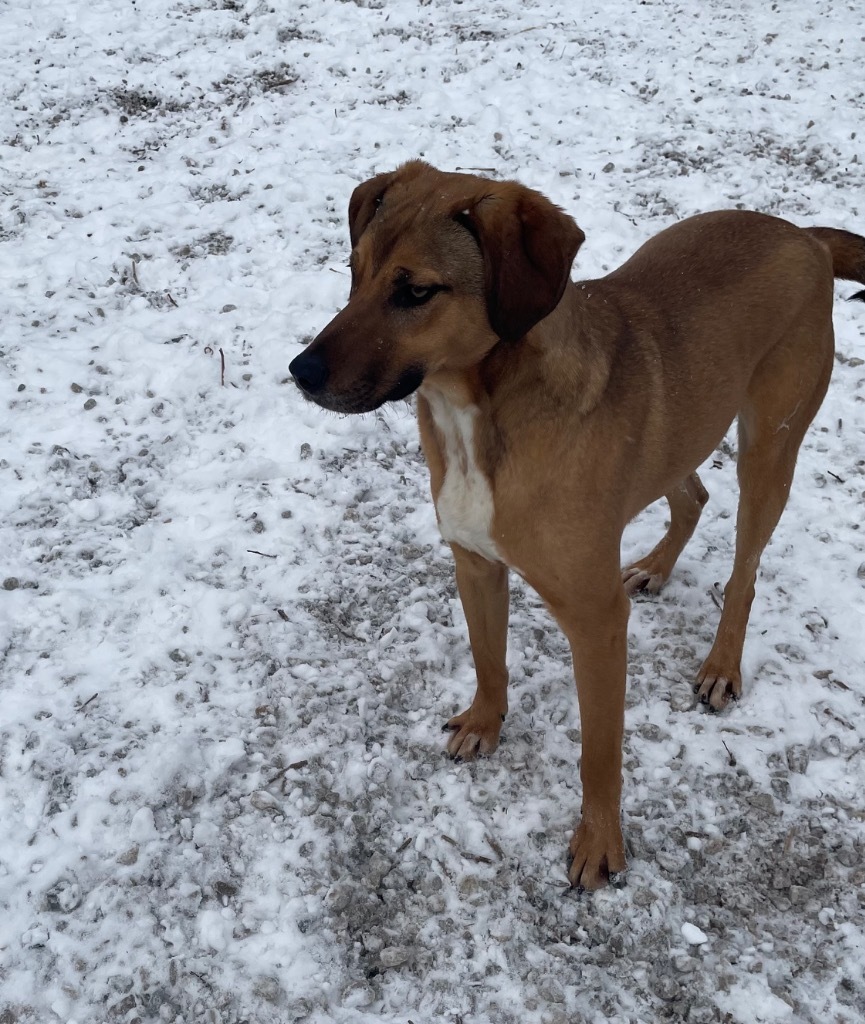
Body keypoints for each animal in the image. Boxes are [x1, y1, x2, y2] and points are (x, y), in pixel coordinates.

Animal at [290, 161, 863, 888]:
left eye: (415, 291)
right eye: (353, 271)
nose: (300, 372)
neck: (477, 412)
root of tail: (804, 236)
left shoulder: (596, 621)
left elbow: (599, 751)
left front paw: (600, 842)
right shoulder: (475, 563)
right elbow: (488, 658)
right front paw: (485, 723)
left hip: (768, 450)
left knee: (744, 570)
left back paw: (721, 663)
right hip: (677, 430)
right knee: (692, 495)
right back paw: (655, 566)